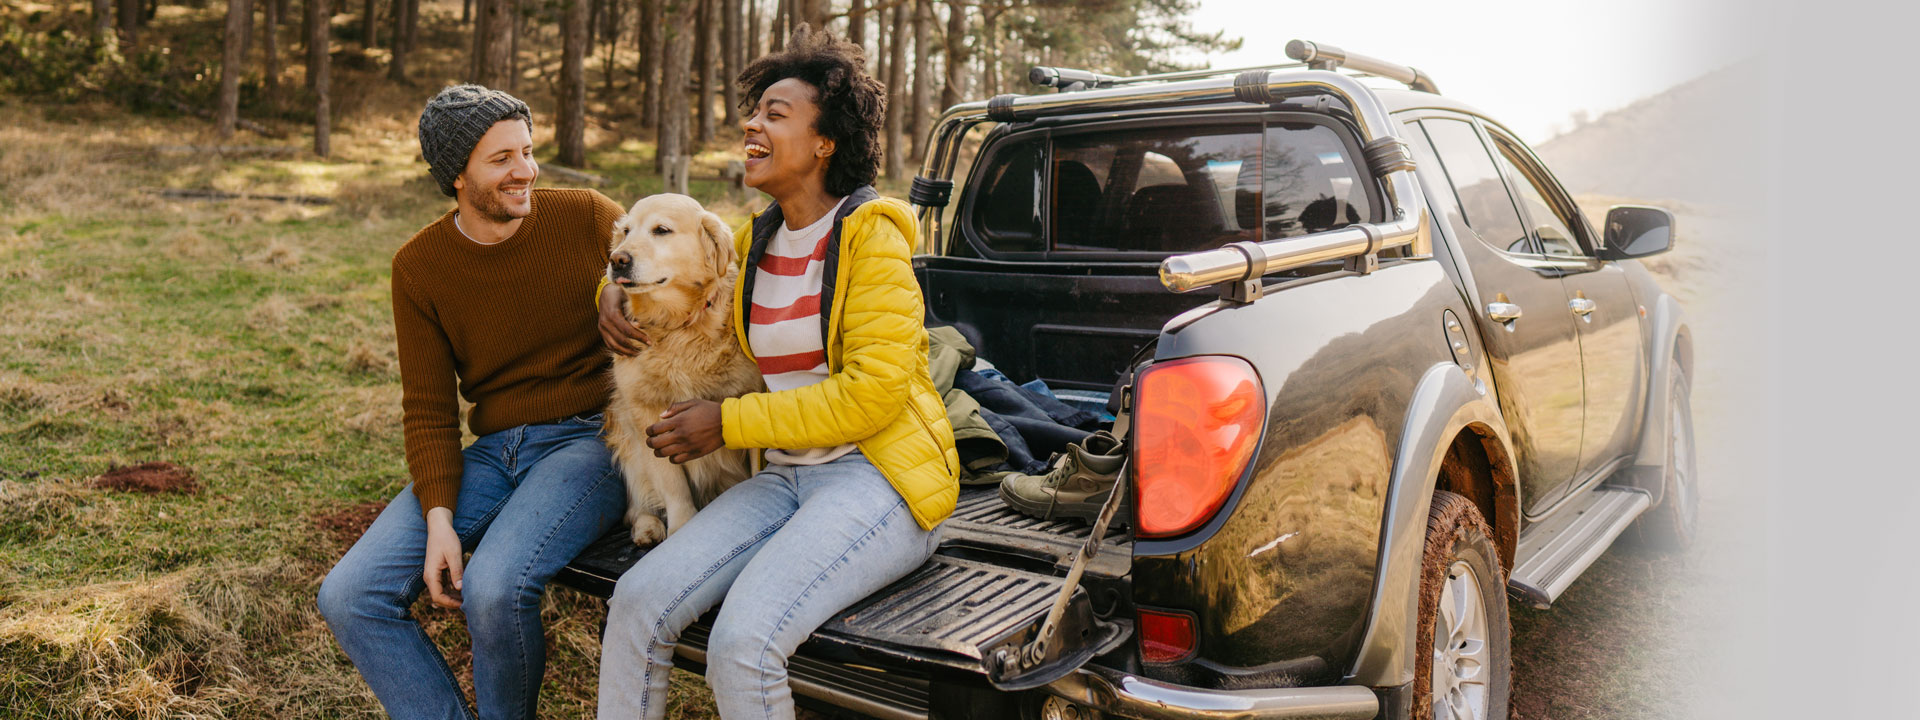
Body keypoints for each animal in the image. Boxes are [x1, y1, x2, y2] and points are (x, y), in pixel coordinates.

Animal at [602, 192, 760, 545]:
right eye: (626, 231)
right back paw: (647, 526)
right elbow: (672, 485)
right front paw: (681, 526)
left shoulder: (751, 394)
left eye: (661, 230)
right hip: (625, 435)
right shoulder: (645, 413)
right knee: (635, 506)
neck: (677, 327)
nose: (617, 260)